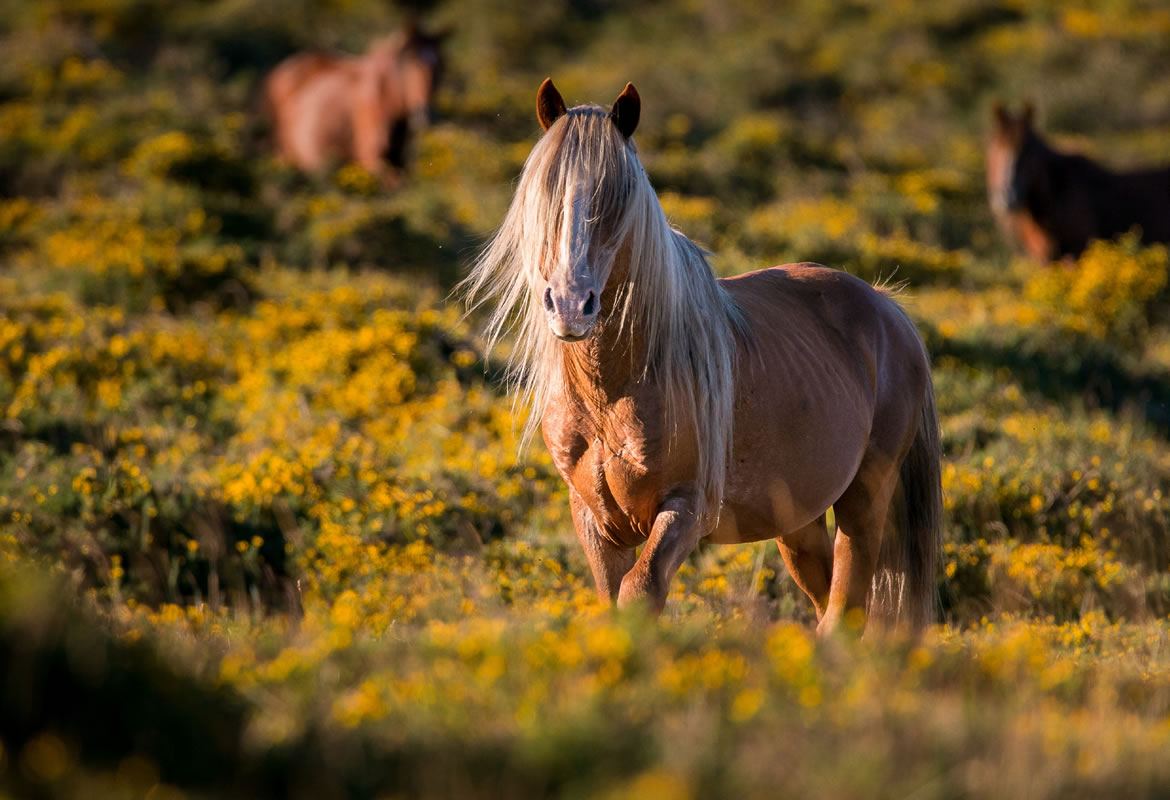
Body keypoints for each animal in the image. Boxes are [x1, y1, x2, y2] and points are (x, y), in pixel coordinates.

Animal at [263, 24, 444, 184]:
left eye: (441, 66)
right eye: (410, 62)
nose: (424, 114)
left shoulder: (398, 160)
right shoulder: (370, 158)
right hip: (285, 155)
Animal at [460, 78, 945, 636]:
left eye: (616, 197)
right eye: (547, 192)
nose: (569, 303)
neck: (615, 389)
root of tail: (889, 309)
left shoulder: (686, 508)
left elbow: (639, 591)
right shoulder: (593, 518)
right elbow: (613, 598)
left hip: (865, 499)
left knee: (846, 606)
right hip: (799, 521)